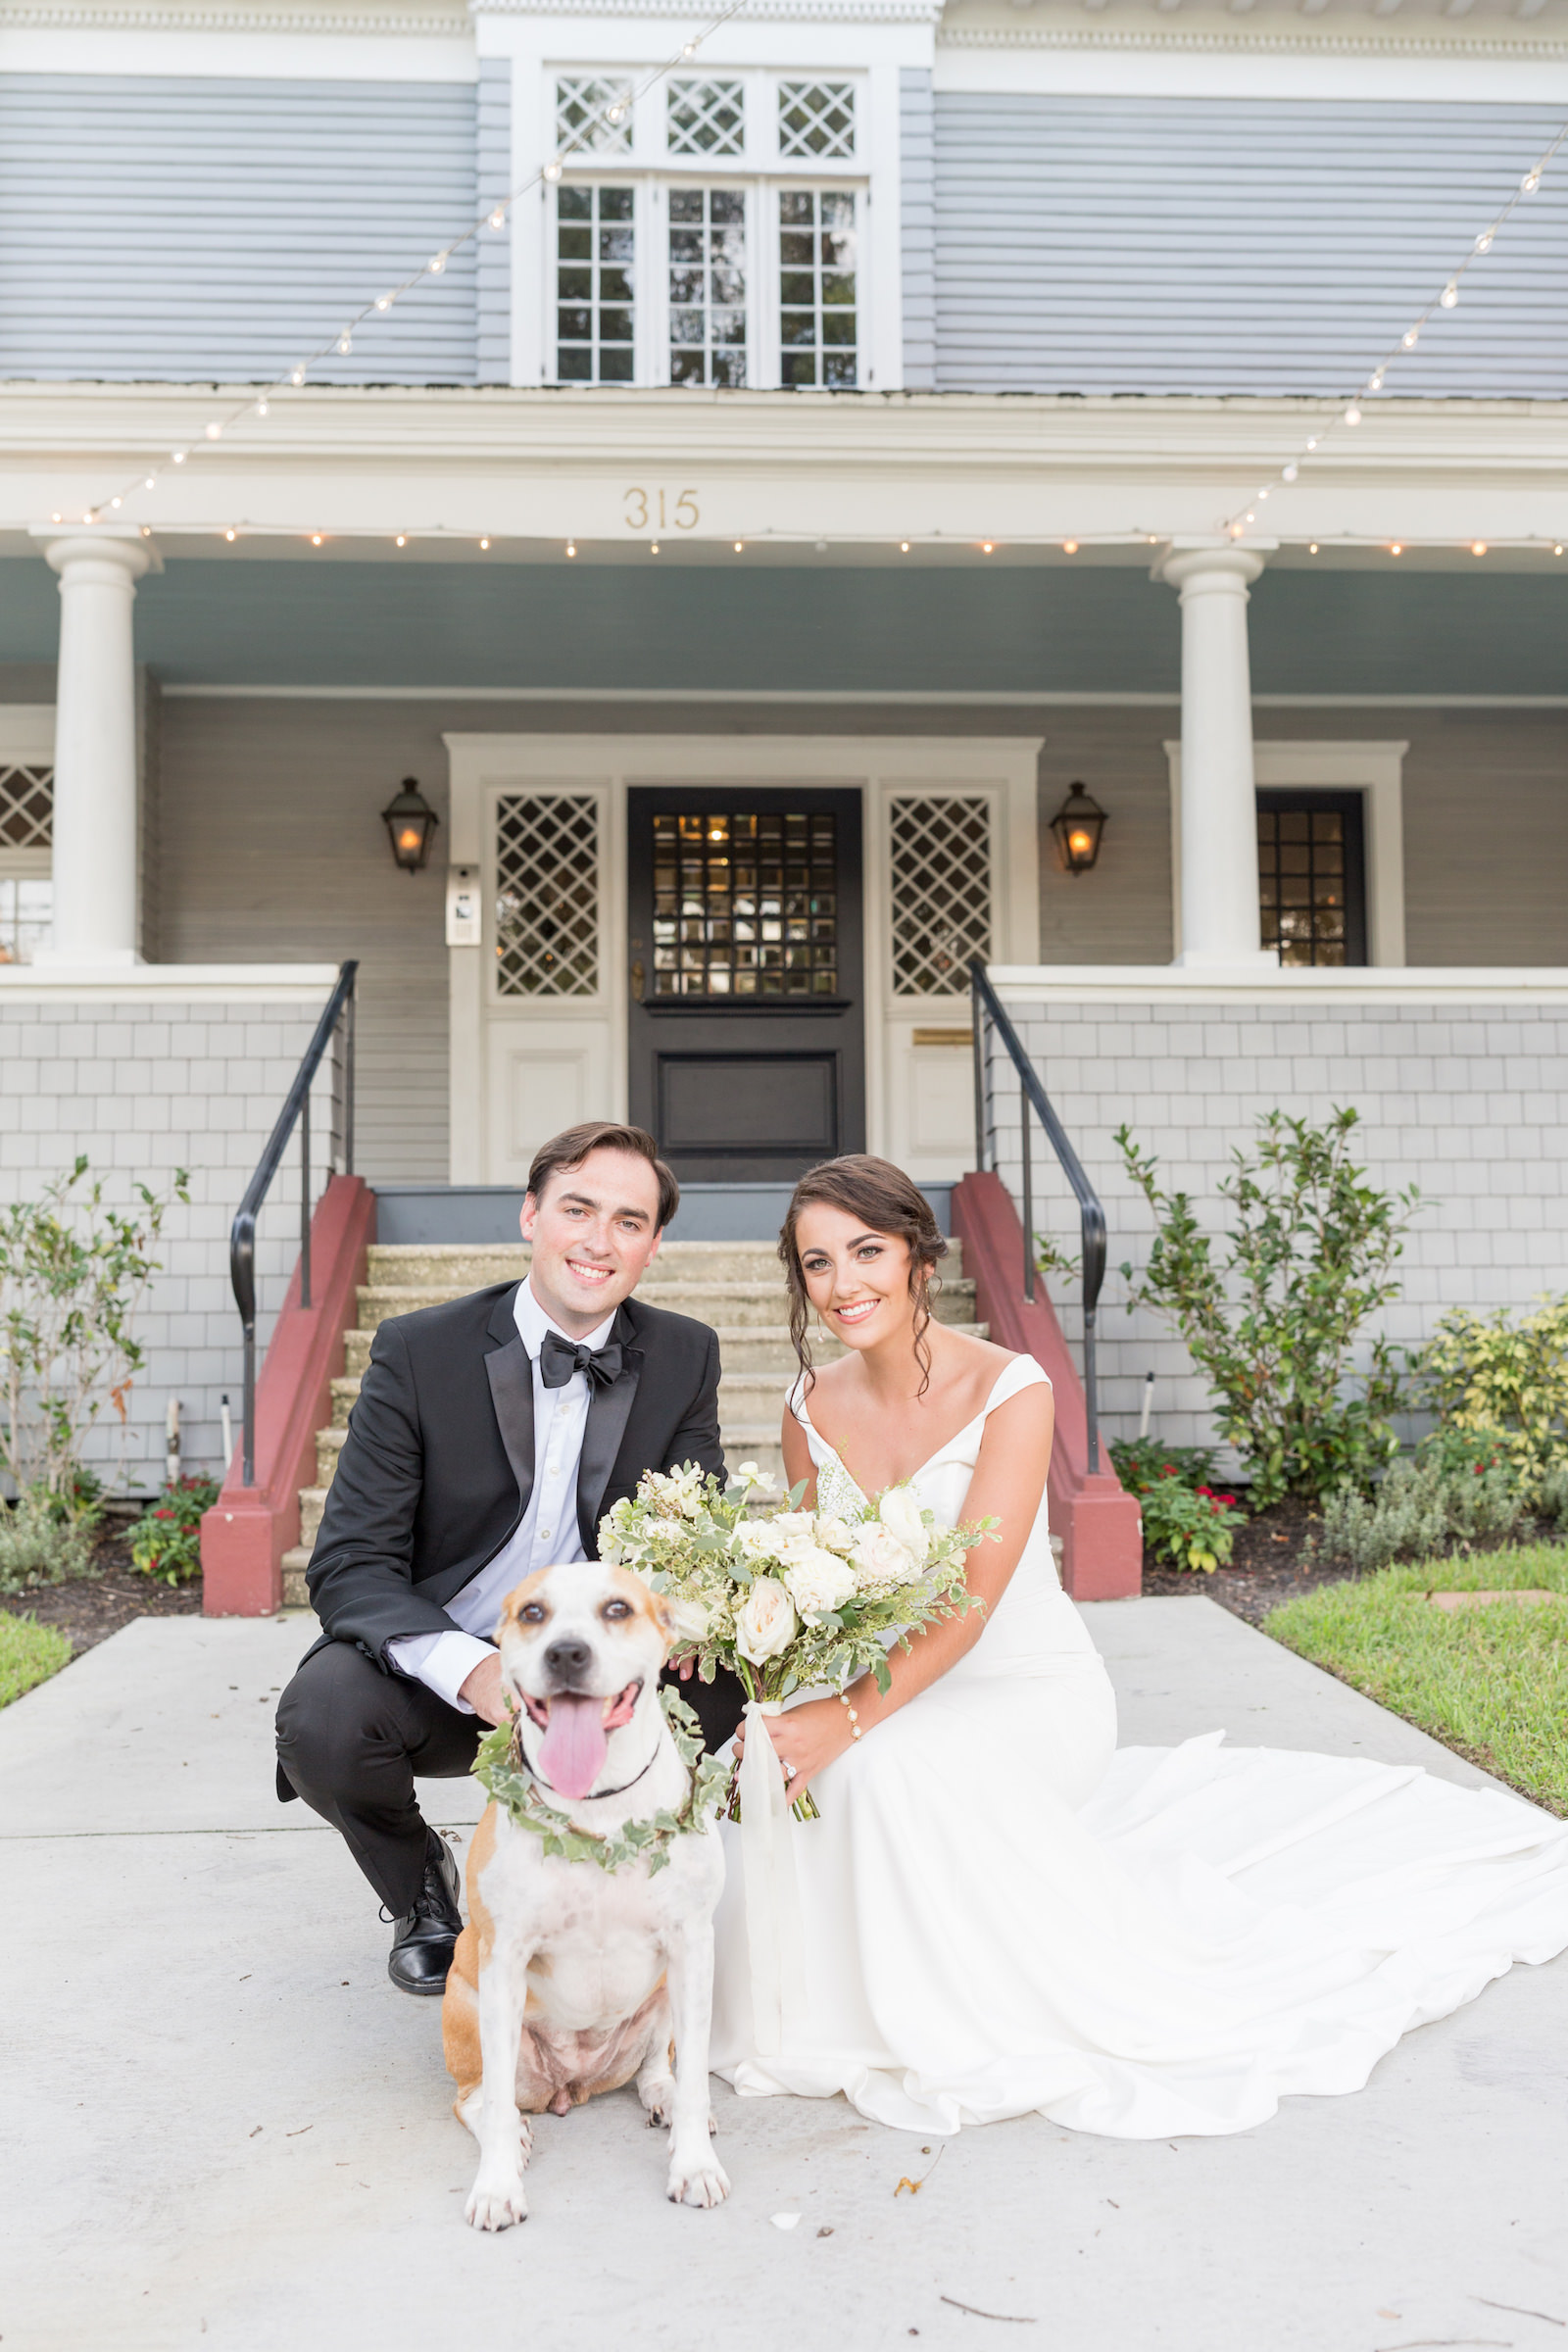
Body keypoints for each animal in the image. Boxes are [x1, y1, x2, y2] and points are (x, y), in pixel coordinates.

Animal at [441, 1571, 728, 2230]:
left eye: (617, 1609)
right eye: (533, 1613)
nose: (567, 1653)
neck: (598, 1808)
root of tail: (575, 2084)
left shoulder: (693, 1944)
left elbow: (696, 2076)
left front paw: (694, 2166)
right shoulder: (504, 1958)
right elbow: (494, 2102)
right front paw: (497, 2187)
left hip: (667, 1993)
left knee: (656, 2067)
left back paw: (665, 2098)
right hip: (466, 1999)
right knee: (479, 2098)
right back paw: (510, 2128)